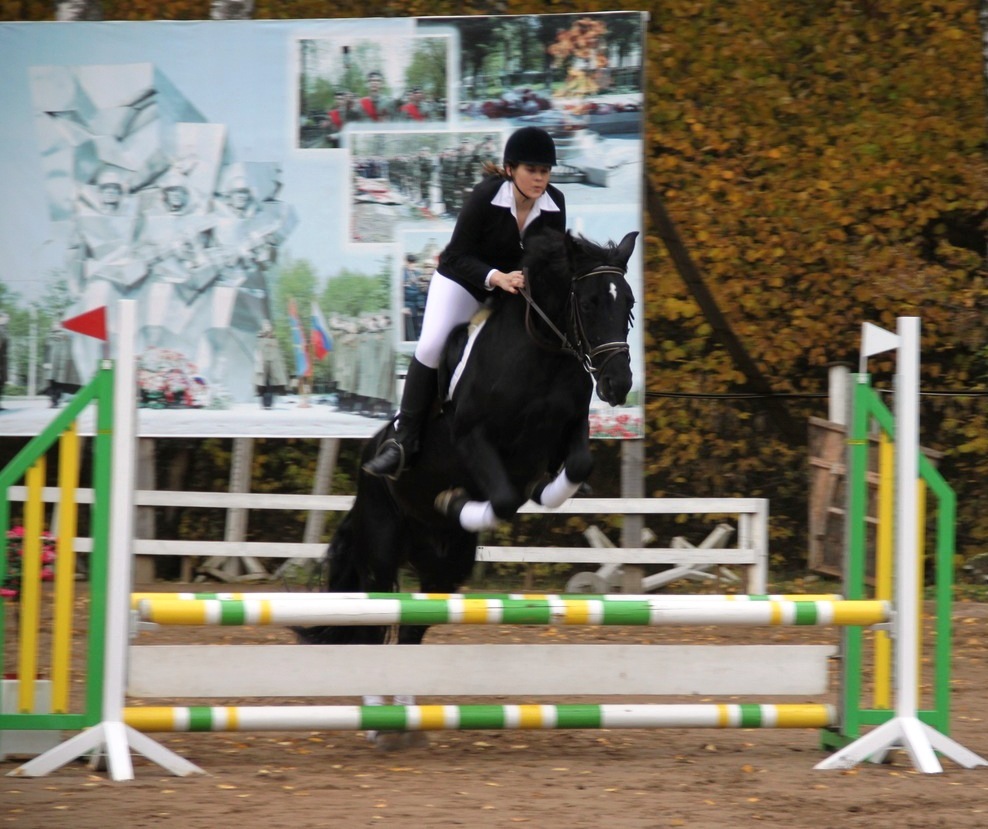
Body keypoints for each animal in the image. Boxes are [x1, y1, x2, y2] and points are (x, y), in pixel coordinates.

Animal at [294, 226, 637, 746]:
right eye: (591, 301)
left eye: (630, 304)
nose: (619, 384)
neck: (541, 351)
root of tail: (368, 456)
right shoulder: (473, 438)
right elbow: (504, 497)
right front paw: (456, 499)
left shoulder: (571, 428)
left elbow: (577, 465)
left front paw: (543, 491)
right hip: (381, 547)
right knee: (375, 617)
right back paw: (377, 722)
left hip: (444, 566)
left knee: (411, 627)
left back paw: (404, 722)